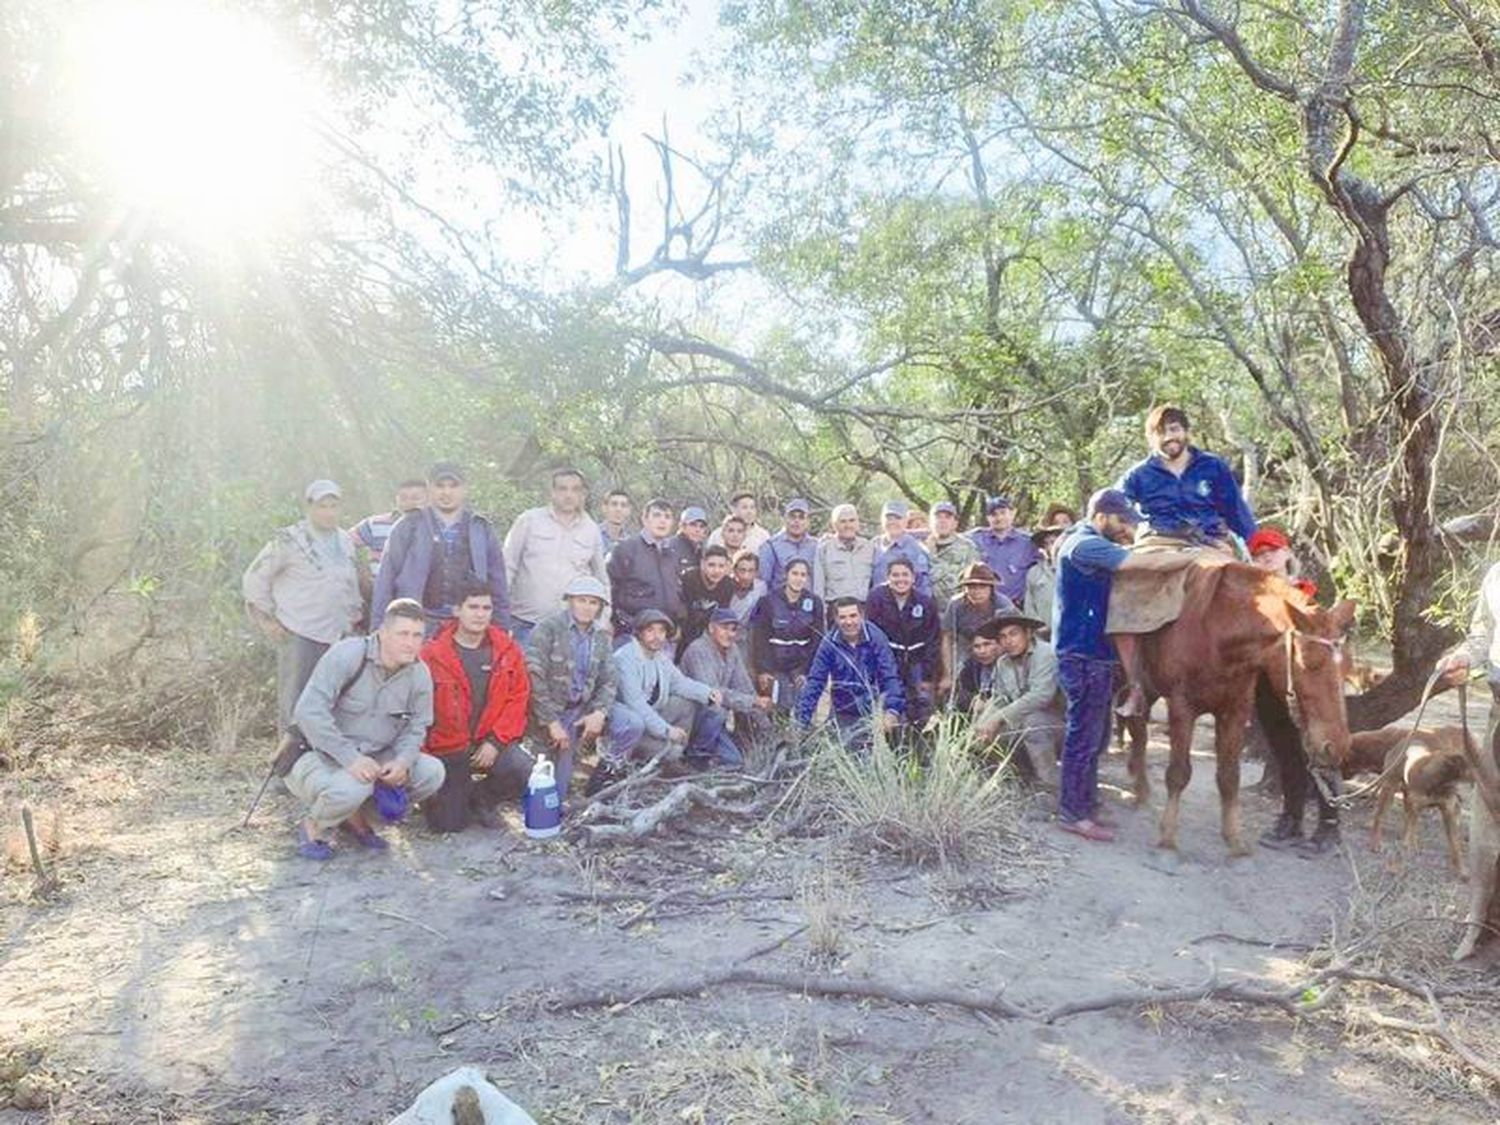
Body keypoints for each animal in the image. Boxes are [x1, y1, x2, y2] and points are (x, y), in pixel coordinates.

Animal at [1128, 561, 1362, 858]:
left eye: (1347, 668)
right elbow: (1178, 773)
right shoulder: (1182, 707)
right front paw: (1167, 840)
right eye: (1310, 663)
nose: (1338, 745)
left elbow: (1230, 777)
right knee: (1136, 731)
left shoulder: (1235, 711)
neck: (1215, 631)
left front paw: (1235, 842)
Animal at [1362, 732, 1476, 882]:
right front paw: (1399, 864)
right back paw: (1376, 843)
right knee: (1380, 816)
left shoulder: (1448, 811)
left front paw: (1461, 871)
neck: (1440, 781)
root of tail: (1400, 744)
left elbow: (1455, 846)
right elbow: (1408, 834)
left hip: (1407, 798)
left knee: (1409, 822)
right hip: (1389, 790)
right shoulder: (1415, 804)